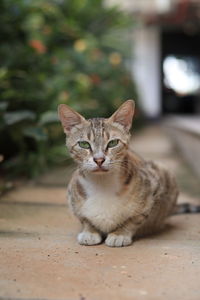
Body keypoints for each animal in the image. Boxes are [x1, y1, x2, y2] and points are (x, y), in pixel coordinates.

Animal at [57, 99, 194, 247]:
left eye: (113, 143)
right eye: (84, 144)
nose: (99, 159)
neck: (102, 184)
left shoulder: (153, 189)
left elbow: (136, 218)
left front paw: (120, 233)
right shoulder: (72, 196)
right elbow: (83, 218)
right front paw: (89, 231)